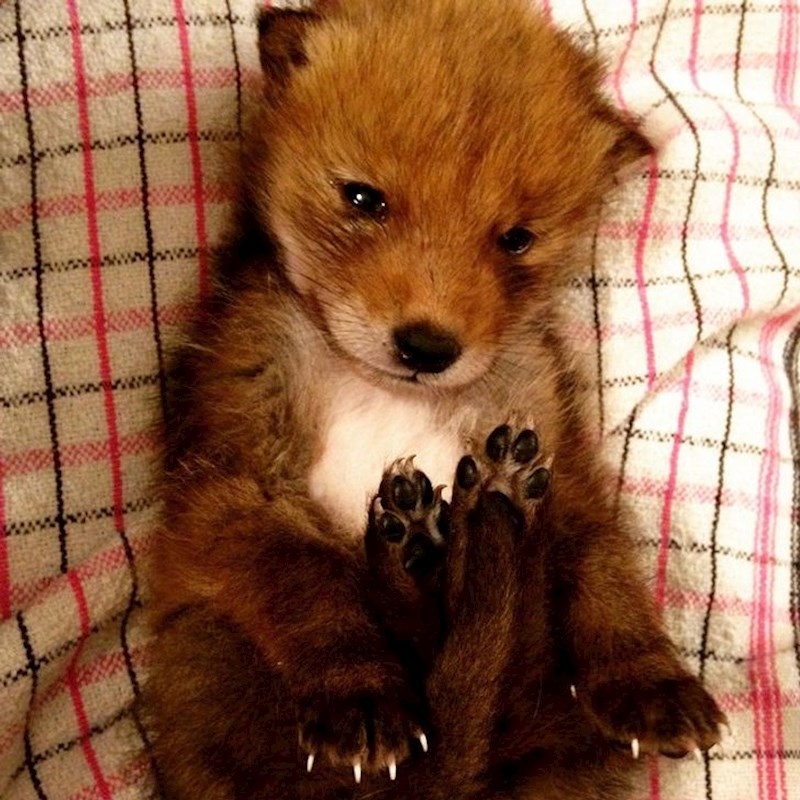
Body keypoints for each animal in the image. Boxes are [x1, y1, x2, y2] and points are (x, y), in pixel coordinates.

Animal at [143, 1, 727, 798]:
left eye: (517, 238)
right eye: (363, 198)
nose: (426, 347)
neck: (379, 390)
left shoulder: (559, 458)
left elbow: (604, 574)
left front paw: (649, 678)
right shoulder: (234, 473)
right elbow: (309, 580)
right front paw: (359, 693)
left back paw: (454, 535)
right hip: (208, 652)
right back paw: (424, 546)